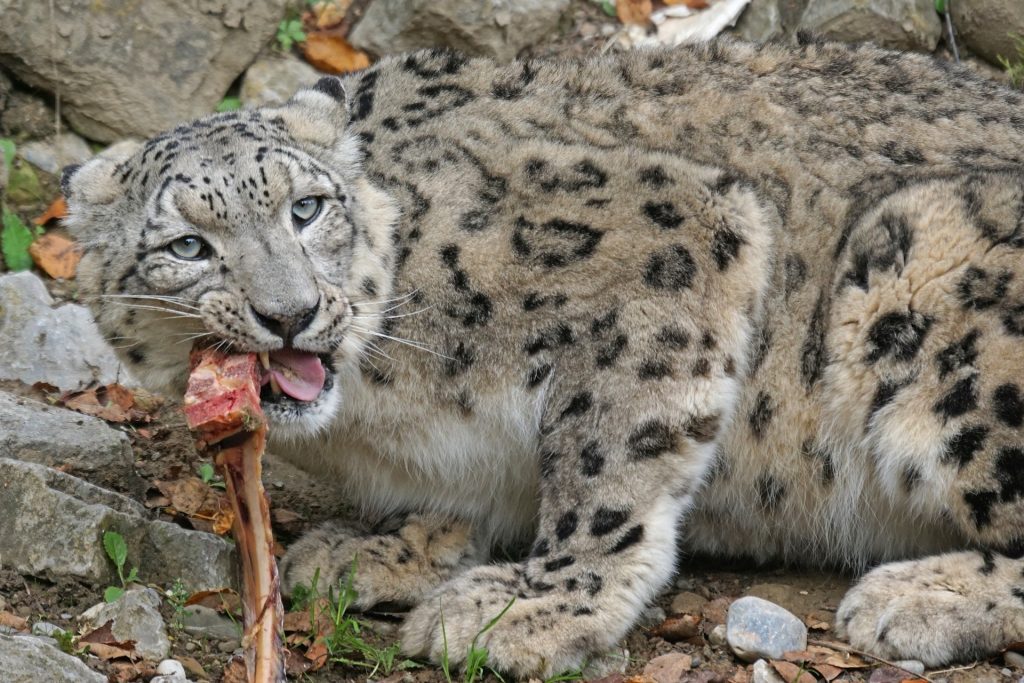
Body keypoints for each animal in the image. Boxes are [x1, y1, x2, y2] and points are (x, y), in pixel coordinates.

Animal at [62, 37, 1024, 678]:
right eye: (188, 246)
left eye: (306, 208)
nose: (291, 313)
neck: (375, 410)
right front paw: (381, 545)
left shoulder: (672, 232)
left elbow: (606, 457)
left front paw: (535, 605)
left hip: (925, 266)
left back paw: (915, 596)